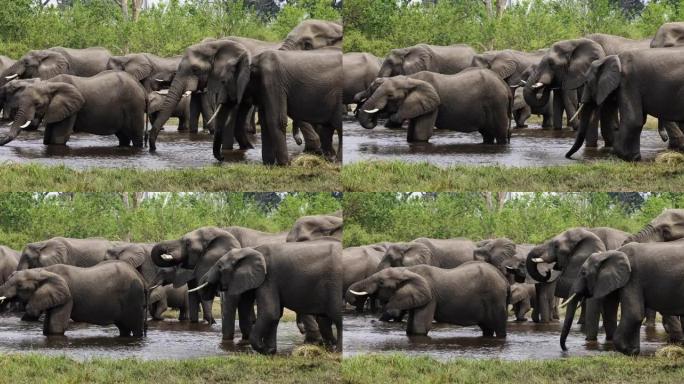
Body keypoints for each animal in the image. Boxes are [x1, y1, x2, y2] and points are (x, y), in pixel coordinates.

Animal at [0, 70, 147, 147]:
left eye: (37, 104)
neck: (50, 84)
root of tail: (141, 88)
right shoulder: (56, 109)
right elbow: (47, 138)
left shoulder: (71, 109)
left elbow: (58, 138)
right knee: (123, 137)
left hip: (135, 107)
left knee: (136, 137)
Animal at [0, 260, 147, 336]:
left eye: (20, 285)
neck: (44, 270)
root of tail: (140, 277)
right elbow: (48, 326)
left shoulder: (67, 297)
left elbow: (56, 326)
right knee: (124, 328)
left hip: (133, 299)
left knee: (135, 327)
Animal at [194, 240, 342, 354]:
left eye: (219, 266)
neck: (251, 250)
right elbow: (275, 315)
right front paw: (270, 351)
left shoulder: (269, 278)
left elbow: (270, 312)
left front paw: (264, 350)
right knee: (325, 320)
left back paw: (336, 349)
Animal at [350, 262, 510, 338]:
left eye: (381, 282)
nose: (371, 321)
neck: (408, 271)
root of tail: (505, 280)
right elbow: (411, 328)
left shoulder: (430, 297)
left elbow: (419, 328)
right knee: (487, 328)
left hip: (496, 300)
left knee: (499, 328)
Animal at [358, 68, 512, 144]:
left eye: (390, 95)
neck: (411, 79)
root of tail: (506, 87)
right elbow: (411, 135)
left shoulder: (433, 105)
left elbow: (421, 134)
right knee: (488, 134)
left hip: (497, 104)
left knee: (500, 134)